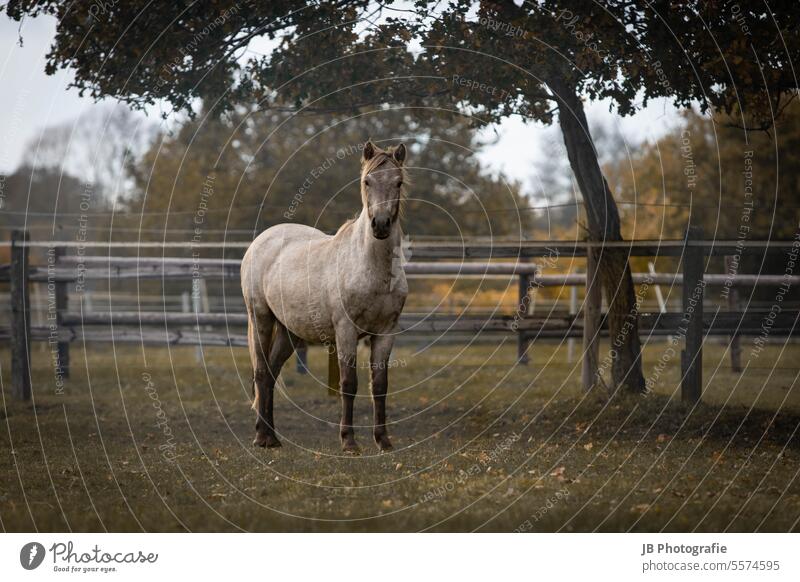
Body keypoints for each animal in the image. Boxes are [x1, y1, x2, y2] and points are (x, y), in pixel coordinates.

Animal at [241, 139, 410, 454]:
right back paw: (260, 437)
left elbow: (380, 386)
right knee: (260, 372)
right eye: (367, 181)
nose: (380, 225)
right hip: (261, 319)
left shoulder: (386, 332)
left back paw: (272, 437)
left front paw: (384, 441)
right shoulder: (345, 331)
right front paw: (349, 442)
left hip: (290, 332)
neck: (371, 268)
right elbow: (349, 384)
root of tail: (262, 240)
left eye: (399, 182)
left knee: (271, 374)